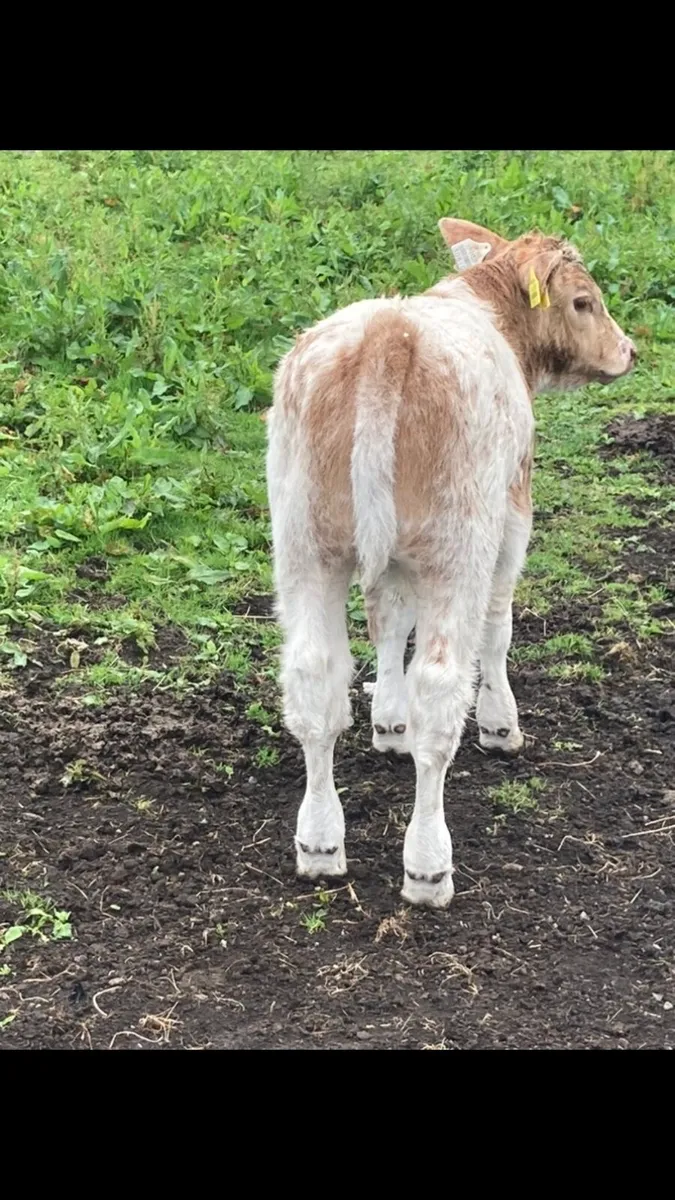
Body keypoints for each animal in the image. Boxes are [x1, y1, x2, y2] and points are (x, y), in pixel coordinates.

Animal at [266, 217, 636, 908]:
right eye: (584, 302)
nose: (628, 352)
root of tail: (391, 329)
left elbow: (389, 621)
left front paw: (388, 724)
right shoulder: (513, 515)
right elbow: (497, 629)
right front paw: (500, 724)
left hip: (306, 542)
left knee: (314, 678)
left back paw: (321, 842)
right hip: (457, 543)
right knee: (440, 692)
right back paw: (428, 865)